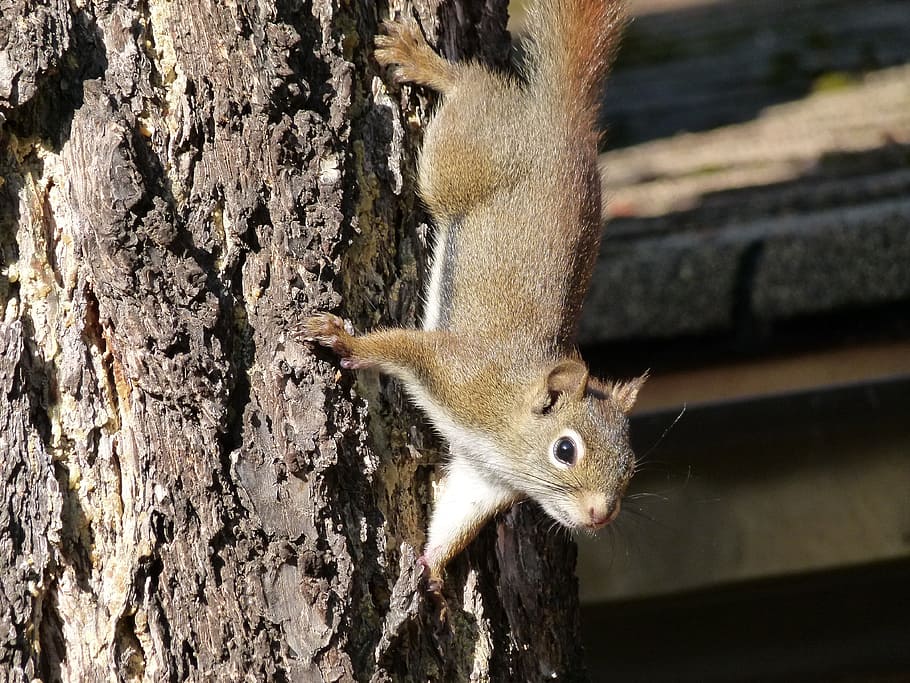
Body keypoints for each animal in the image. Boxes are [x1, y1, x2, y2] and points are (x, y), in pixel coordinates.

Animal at [303, 0, 642, 585]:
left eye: (631, 464)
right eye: (565, 449)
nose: (601, 513)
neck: (506, 424)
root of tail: (564, 124)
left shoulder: (484, 480)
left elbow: (456, 519)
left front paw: (431, 570)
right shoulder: (457, 371)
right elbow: (397, 346)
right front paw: (345, 341)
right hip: (460, 159)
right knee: (471, 87)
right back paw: (423, 60)